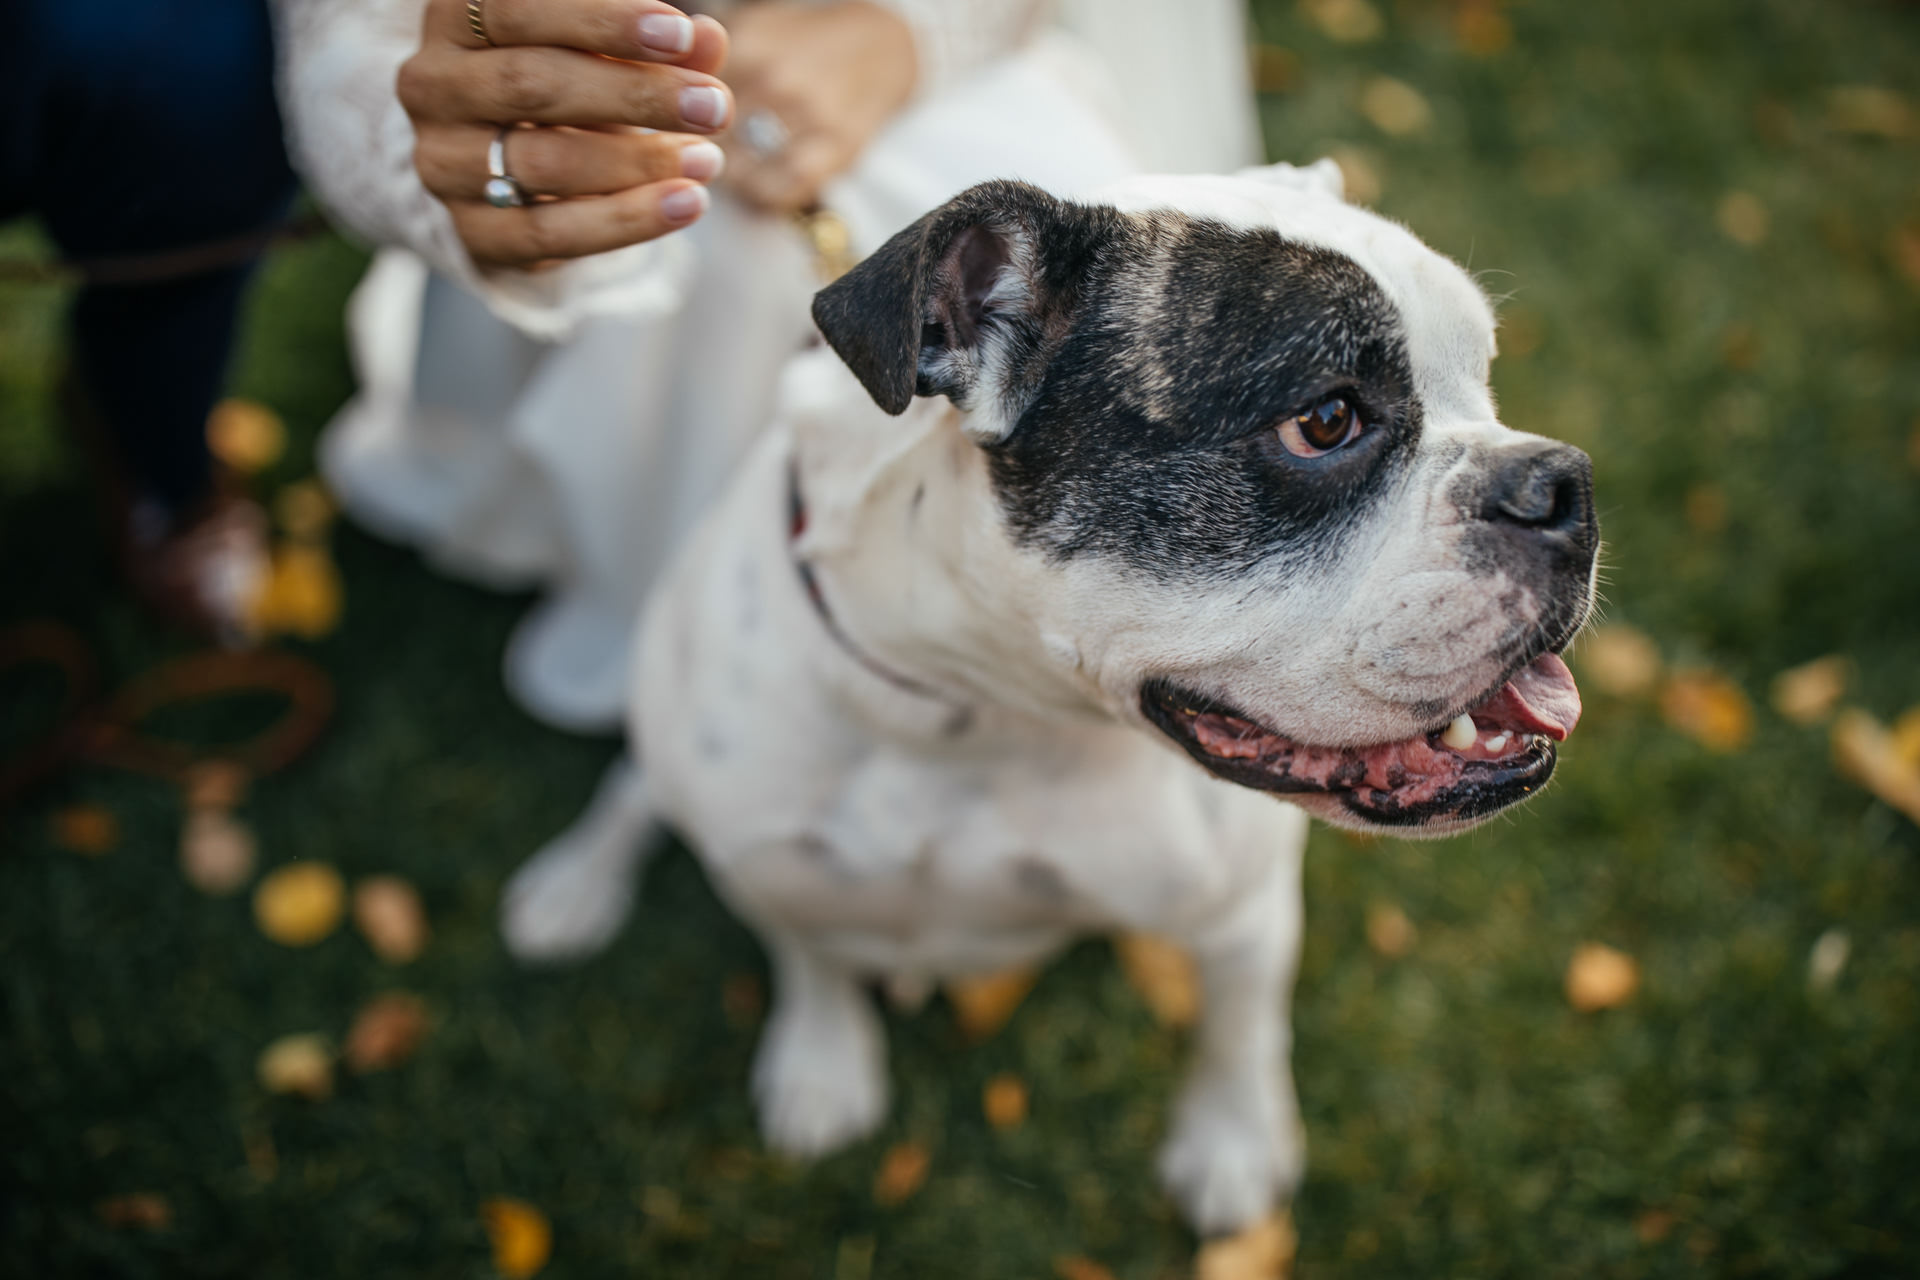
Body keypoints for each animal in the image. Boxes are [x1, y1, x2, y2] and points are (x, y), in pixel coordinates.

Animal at [495, 165, 1589, 1235]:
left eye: (1486, 380)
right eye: (1326, 422)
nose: (1562, 484)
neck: (972, 709)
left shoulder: (1241, 907)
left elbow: (1238, 1028)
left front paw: (1231, 1144)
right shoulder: (768, 869)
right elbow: (813, 959)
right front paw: (823, 1061)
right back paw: (575, 880)